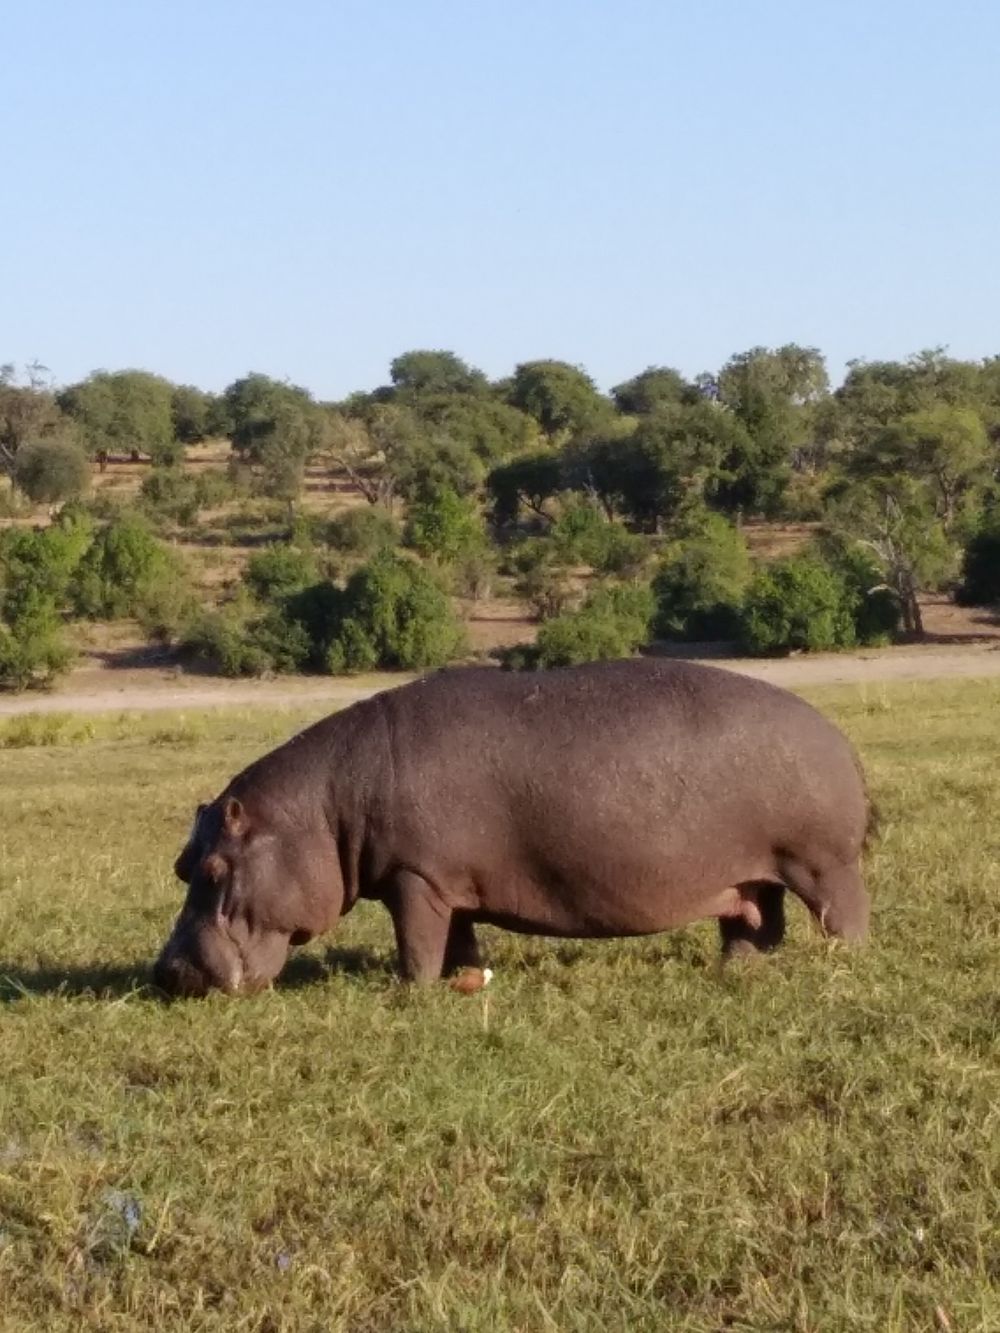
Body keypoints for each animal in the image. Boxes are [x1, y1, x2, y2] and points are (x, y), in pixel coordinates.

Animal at [152, 661, 874, 997]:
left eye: (214, 868)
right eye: (181, 866)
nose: (167, 971)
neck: (323, 809)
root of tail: (839, 735)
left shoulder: (416, 879)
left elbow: (416, 943)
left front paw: (408, 990)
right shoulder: (445, 884)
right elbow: (459, 941)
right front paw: (463, 979)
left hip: (822, 864)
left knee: (843, 917)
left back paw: (843, 963)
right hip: (753, 873)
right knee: (754, 924)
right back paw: (735, 970)